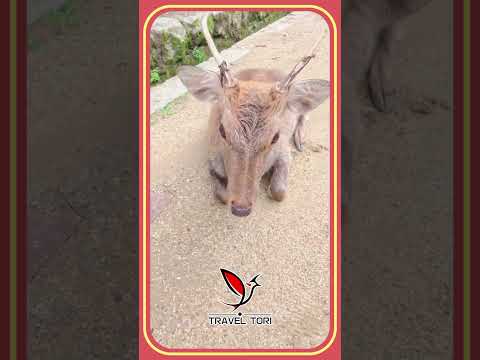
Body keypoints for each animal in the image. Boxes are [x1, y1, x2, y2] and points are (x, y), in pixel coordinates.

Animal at [176, 13, 330, 217]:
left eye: (275, 137)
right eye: (222, 130)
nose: (241, 208)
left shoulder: (284, 151)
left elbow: (279, 191)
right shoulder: (211, 156)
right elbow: (221, 194)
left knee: (304, 115)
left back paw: (300, 140)